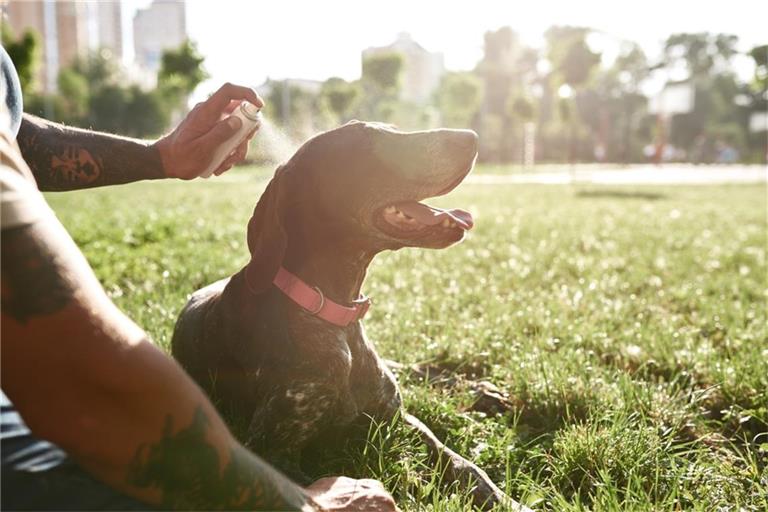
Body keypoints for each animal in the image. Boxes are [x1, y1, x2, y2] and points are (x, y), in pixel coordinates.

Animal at [169, 121, 528, 512]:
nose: (471, 137)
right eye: (366, 143)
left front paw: (507, 500)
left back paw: (485, 390)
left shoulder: (398, 415)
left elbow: (465, 465)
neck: (330, 310)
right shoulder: (270, 452)